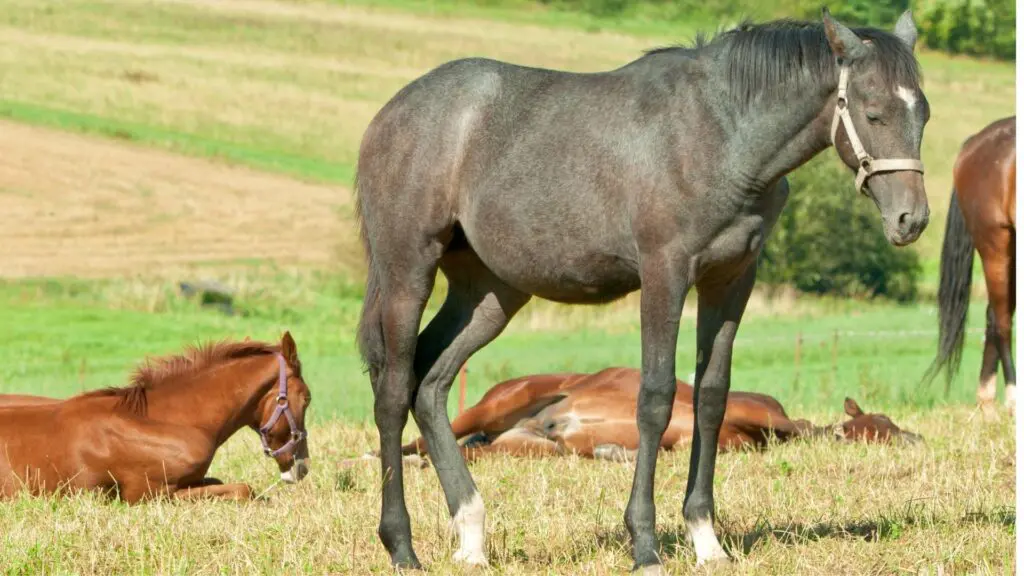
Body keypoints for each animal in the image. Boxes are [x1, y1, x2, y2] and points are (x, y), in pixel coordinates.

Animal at [354, 9, 929, 570]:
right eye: (873, 113)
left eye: (922, 114)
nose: (912, 219)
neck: (720, 134)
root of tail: (392, 114)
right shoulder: (664, 274)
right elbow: (655, 398)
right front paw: (645, 544)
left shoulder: (731, 280)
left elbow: (711, 398)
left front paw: (706, 539)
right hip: (408, 271)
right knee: (394, 390)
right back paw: (402, 547)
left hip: (491, 294)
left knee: (431, 384)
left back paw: (471, 535)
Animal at [924, 116, 1016, 417]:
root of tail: (974, 143)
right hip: (995, 244)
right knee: (1001, 321)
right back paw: (1012, 399)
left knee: (994, 315)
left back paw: (986, 402)